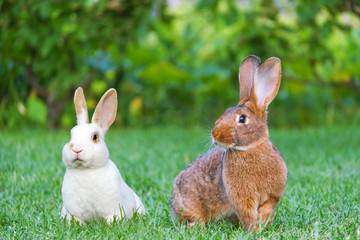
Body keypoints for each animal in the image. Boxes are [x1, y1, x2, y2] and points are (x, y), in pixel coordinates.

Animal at [61, 87, 146, 224]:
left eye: (95, 137)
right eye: (70, 135)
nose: (77, 149)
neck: (86, 171)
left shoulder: (113, 209)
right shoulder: (74, 212)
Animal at [170, 55, 288, 232]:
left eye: (242, 119)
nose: (214, 134)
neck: (250, 148)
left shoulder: (273, 195)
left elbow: (268, 207)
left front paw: (263, 224)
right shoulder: (242, 199)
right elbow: (247, 214)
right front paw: (255, 230)